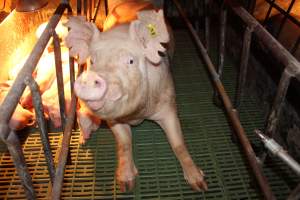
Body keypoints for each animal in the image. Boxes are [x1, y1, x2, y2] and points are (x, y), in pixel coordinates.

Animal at [64, 9, 207, 192]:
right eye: (92, 61)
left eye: (130, 61)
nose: (91, 78)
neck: (136, 115)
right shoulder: (113, 120)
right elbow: (124, 143)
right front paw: (126, 185)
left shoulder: (168, 104)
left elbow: (178, 143)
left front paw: (200, 184)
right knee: (81, 112)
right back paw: (84, 139)